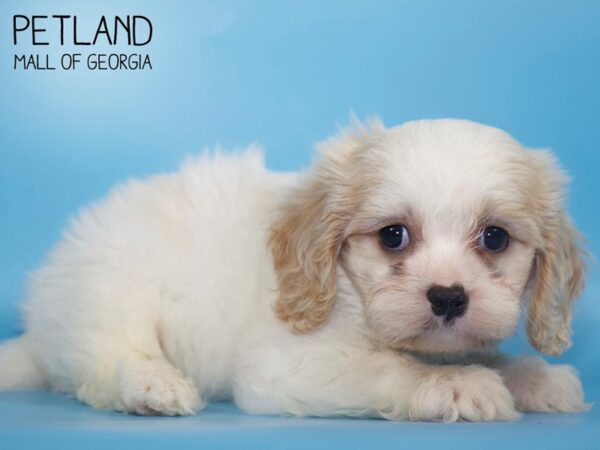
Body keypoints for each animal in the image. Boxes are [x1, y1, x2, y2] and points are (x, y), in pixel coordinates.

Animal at [0, 119, 588, 422]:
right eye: (393, 235)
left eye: (494, 238)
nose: (447, 297)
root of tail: (39, 323)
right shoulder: (286, 365)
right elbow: (392, 367)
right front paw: (460, 385)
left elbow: (483, 352)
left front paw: (534, 376)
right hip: (112, 288)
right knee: (108, 361)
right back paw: (155, 387)